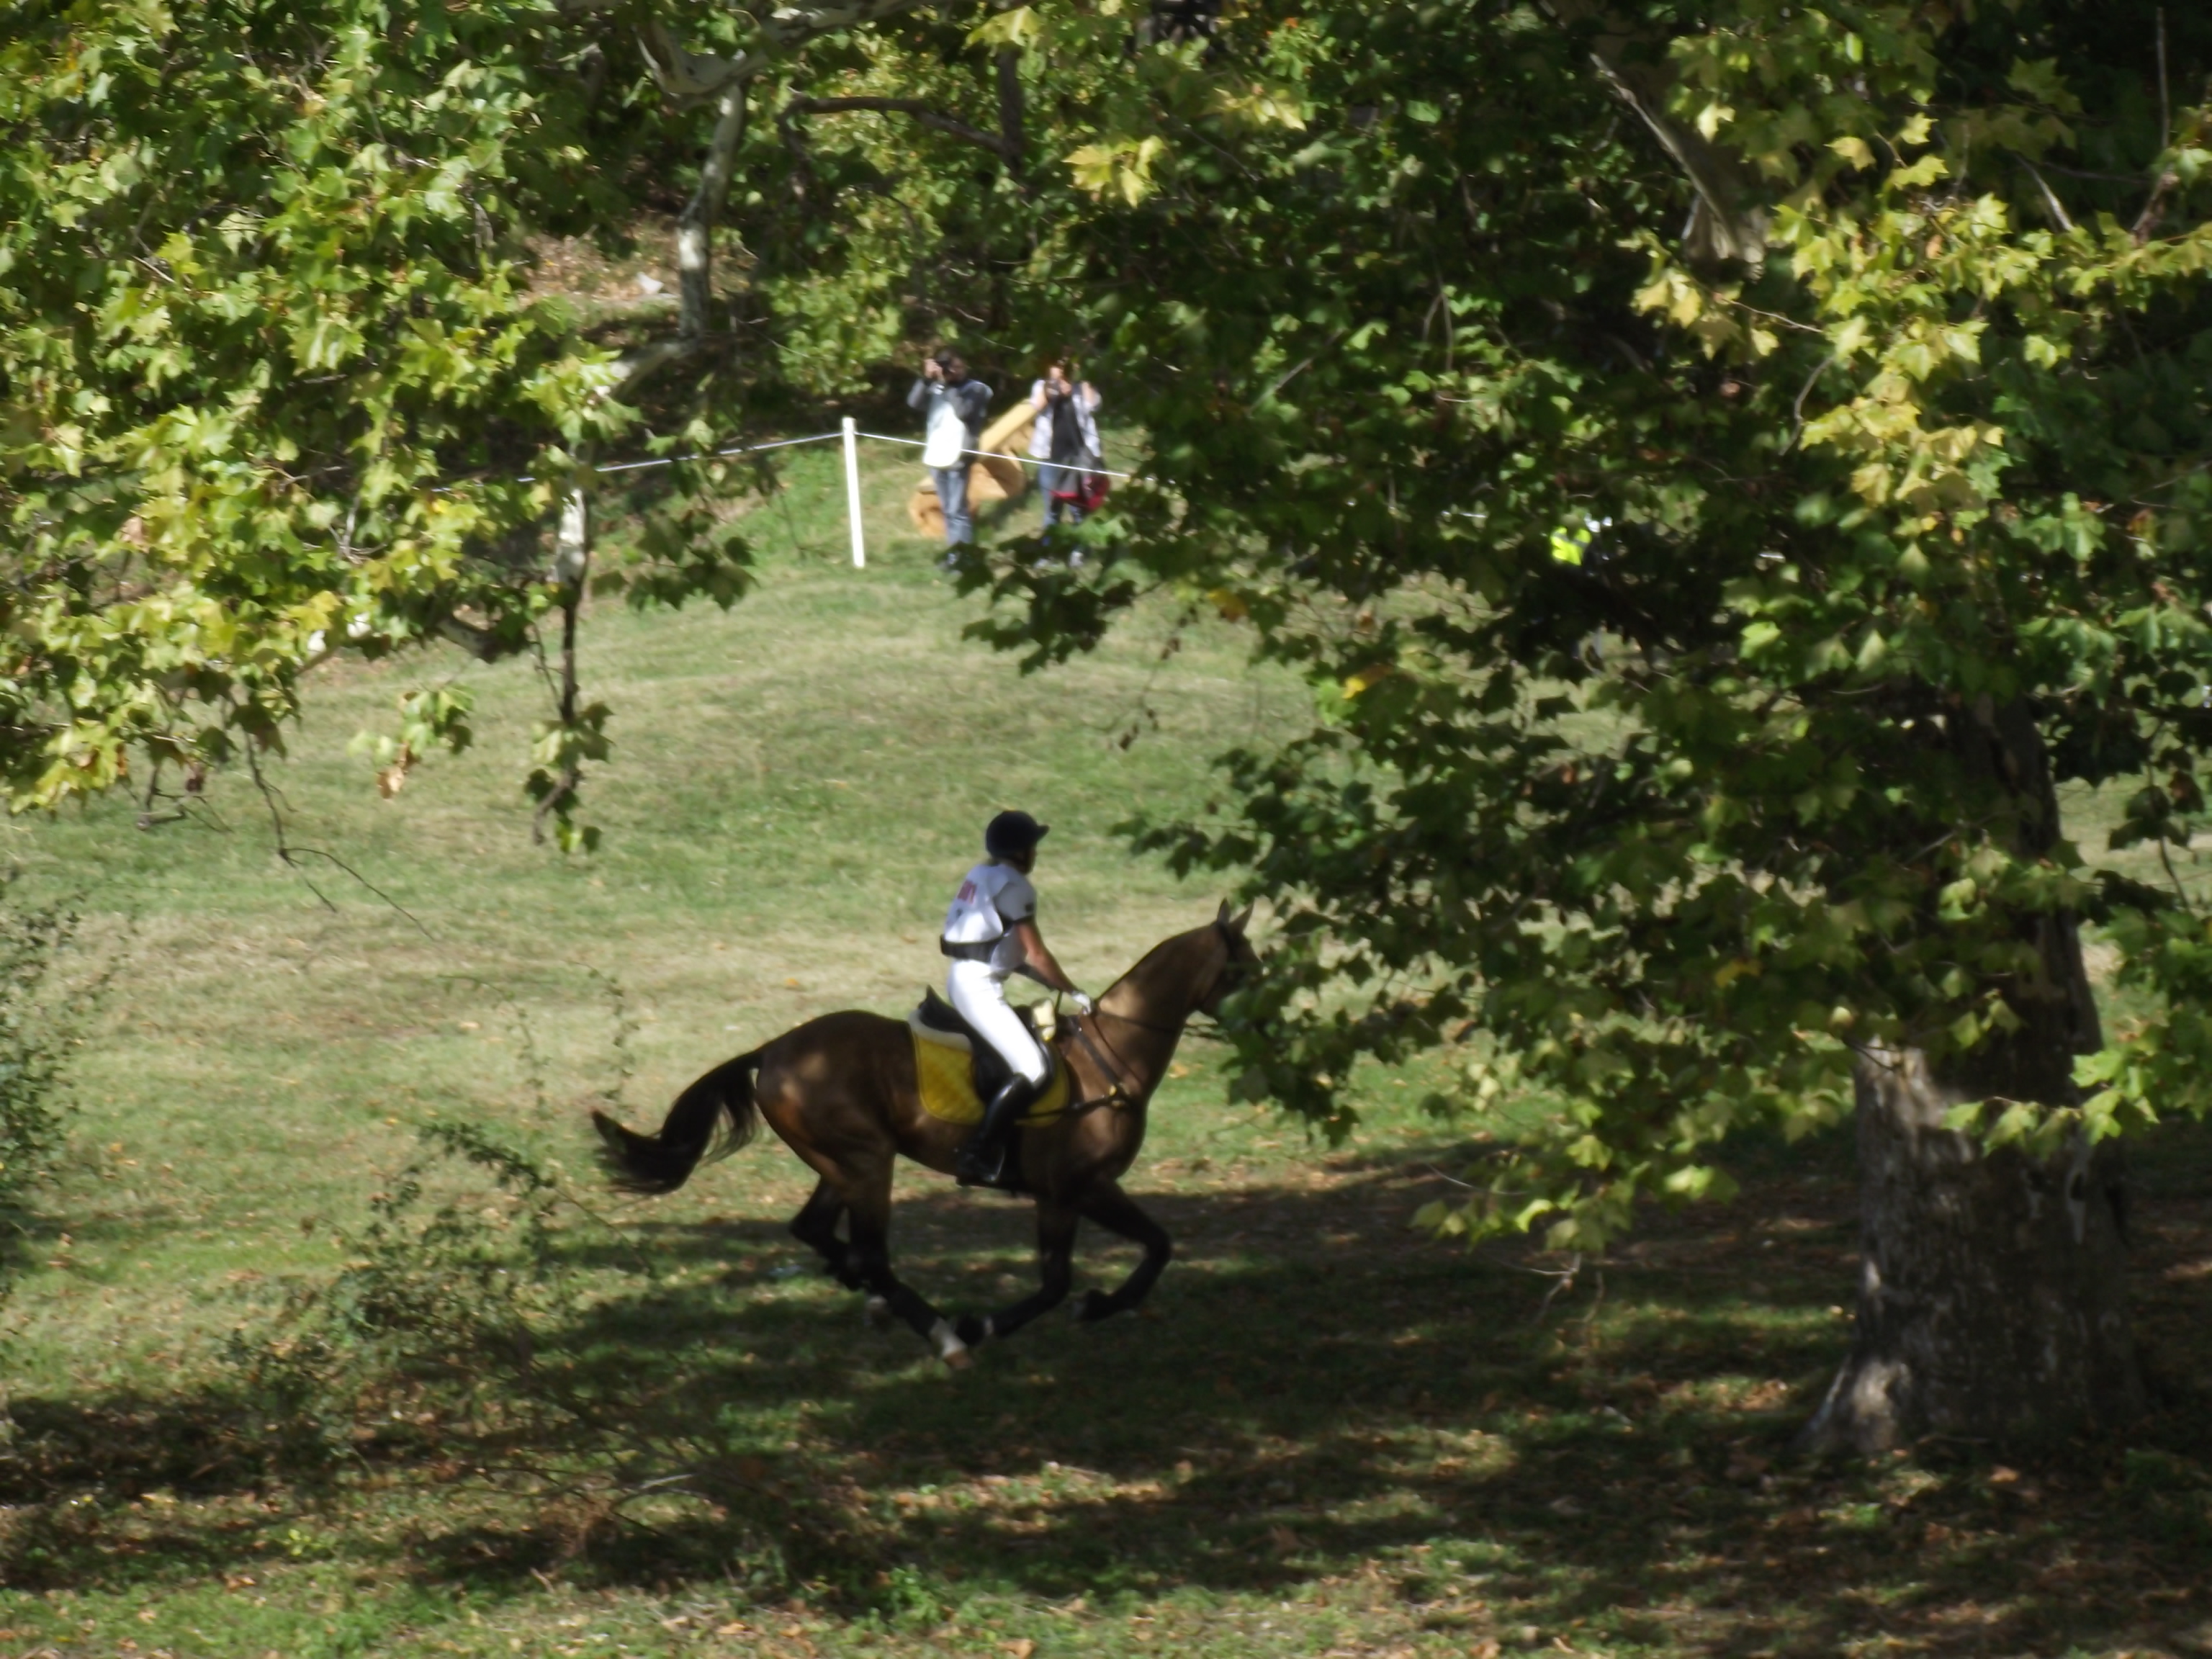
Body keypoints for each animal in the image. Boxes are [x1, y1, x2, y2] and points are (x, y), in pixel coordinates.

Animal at [588, 911, 1256, 1362]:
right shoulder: (1071, 1189)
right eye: (1245, 969)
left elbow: (1156, 1246)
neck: (1112, 1054)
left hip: (844, 1162)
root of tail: (772, 1050)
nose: (1264, 1022)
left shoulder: (1082, 1191)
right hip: (866, 1162)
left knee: (819, 1231)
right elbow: (1065, 1279)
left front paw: (1098, 1305)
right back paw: (940, 1333)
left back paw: (874, 1297)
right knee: (870, 1254)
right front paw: (1000, 1323)